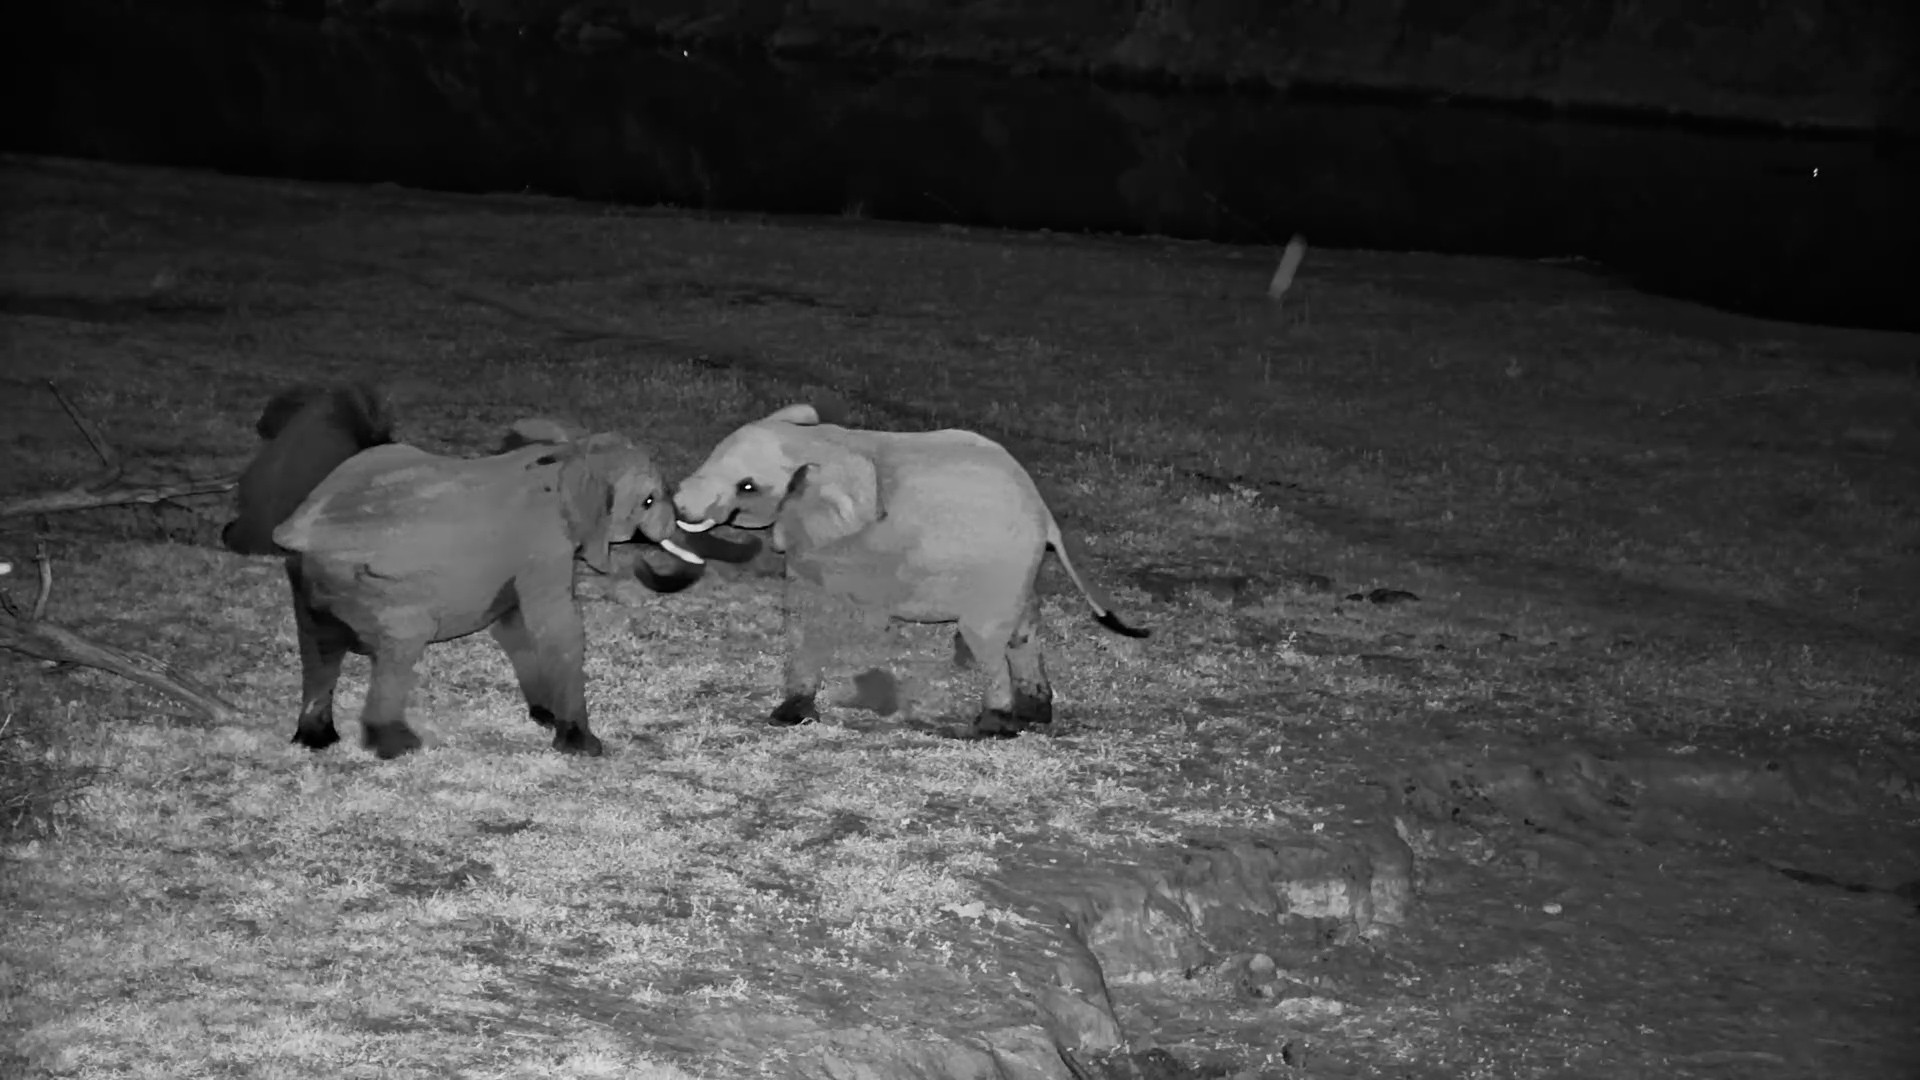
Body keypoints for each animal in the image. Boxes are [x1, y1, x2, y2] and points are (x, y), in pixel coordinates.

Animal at [222, 383, 710, 758]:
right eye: (648, 500)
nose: (645, 557)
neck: (566, 453)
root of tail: (299, 527)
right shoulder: (543, 544)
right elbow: (558, 626)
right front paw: (583, 747)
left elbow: (515, 627)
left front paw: (545, 717)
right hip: (370, 586)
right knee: (400, 644)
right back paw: (397, 747)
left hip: (308, 582)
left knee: (319, 652)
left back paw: (316, 740)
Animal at [674, 403, 1148, 736]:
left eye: (747, 487)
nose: (676, 506)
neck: (819, 440)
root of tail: (1047, 517)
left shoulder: (820, 536)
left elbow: (809, 612)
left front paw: (790, 717)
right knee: (1023, 631)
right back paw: (1035, 715)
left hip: (999, 570)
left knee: (985, 637)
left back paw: (994, 726)